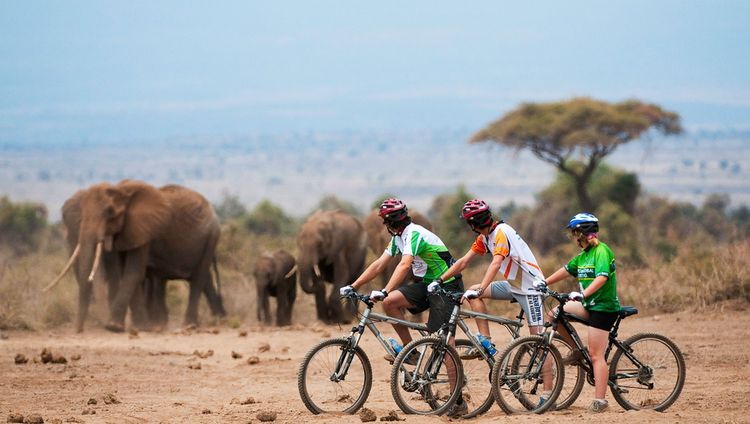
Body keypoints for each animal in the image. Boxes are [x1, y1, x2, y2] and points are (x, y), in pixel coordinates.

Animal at [44, 181, 225, 332]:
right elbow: (124, 272)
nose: (79, 330)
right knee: (202, 279)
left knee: (198, 277)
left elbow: (133, 272)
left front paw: (114, 326)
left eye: (110, 212)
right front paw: (140, 327)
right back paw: (215, 319)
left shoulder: (144, 230)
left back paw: (190, 325)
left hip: (211, 236)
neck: (122, 190)